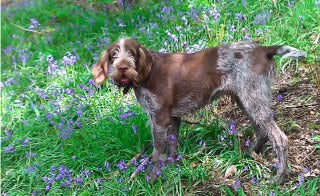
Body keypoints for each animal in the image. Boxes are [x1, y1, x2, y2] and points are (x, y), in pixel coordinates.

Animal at [92, 37, 304, 182]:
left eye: (132, 53)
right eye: (114, 55)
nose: (122, 68)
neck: (146, 73)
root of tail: (264, 49)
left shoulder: (159, 118)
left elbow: (157, 151)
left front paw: (154, 176)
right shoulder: (173, 118)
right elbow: (172, 146)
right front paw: (174, 166)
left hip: (252, 99)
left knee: (280, 138)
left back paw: (279, 177)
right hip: (246, 100)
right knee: (262, 130)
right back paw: (250, 153)